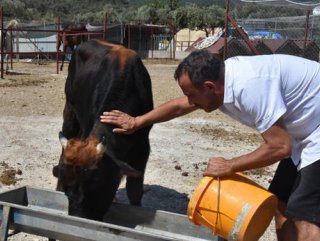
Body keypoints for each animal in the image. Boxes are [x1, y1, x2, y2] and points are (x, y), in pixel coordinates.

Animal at [52, 38, 154, 221]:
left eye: (95, 184)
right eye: (67, 191)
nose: (78, 218)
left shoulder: (143, 147)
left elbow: (135, 191)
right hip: (70, 109)